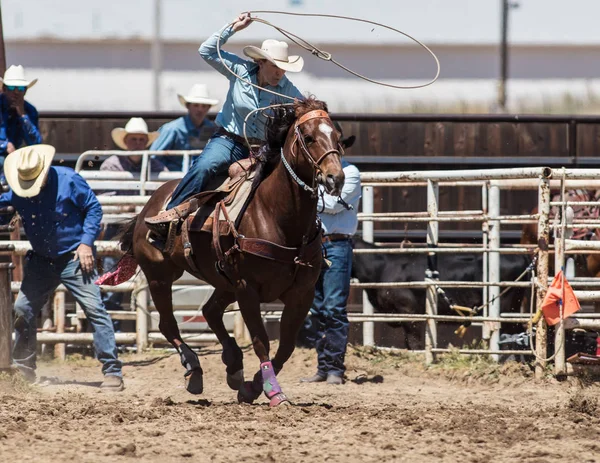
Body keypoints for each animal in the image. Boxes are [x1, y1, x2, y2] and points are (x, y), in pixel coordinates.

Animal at [117, 98, 344, 406]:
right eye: (308, 137)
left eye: (337, 137)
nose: (335, 178)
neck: (276, 214)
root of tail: (147, 208)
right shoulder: (248, 288)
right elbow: (261, 340)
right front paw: (273, 391)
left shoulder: (302, 294)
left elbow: (285, 346)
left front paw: (252, 387)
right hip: (159, 276)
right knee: (168, 325)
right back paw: (194, 369)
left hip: (223, 280)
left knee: (210, 311)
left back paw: (234, 364)